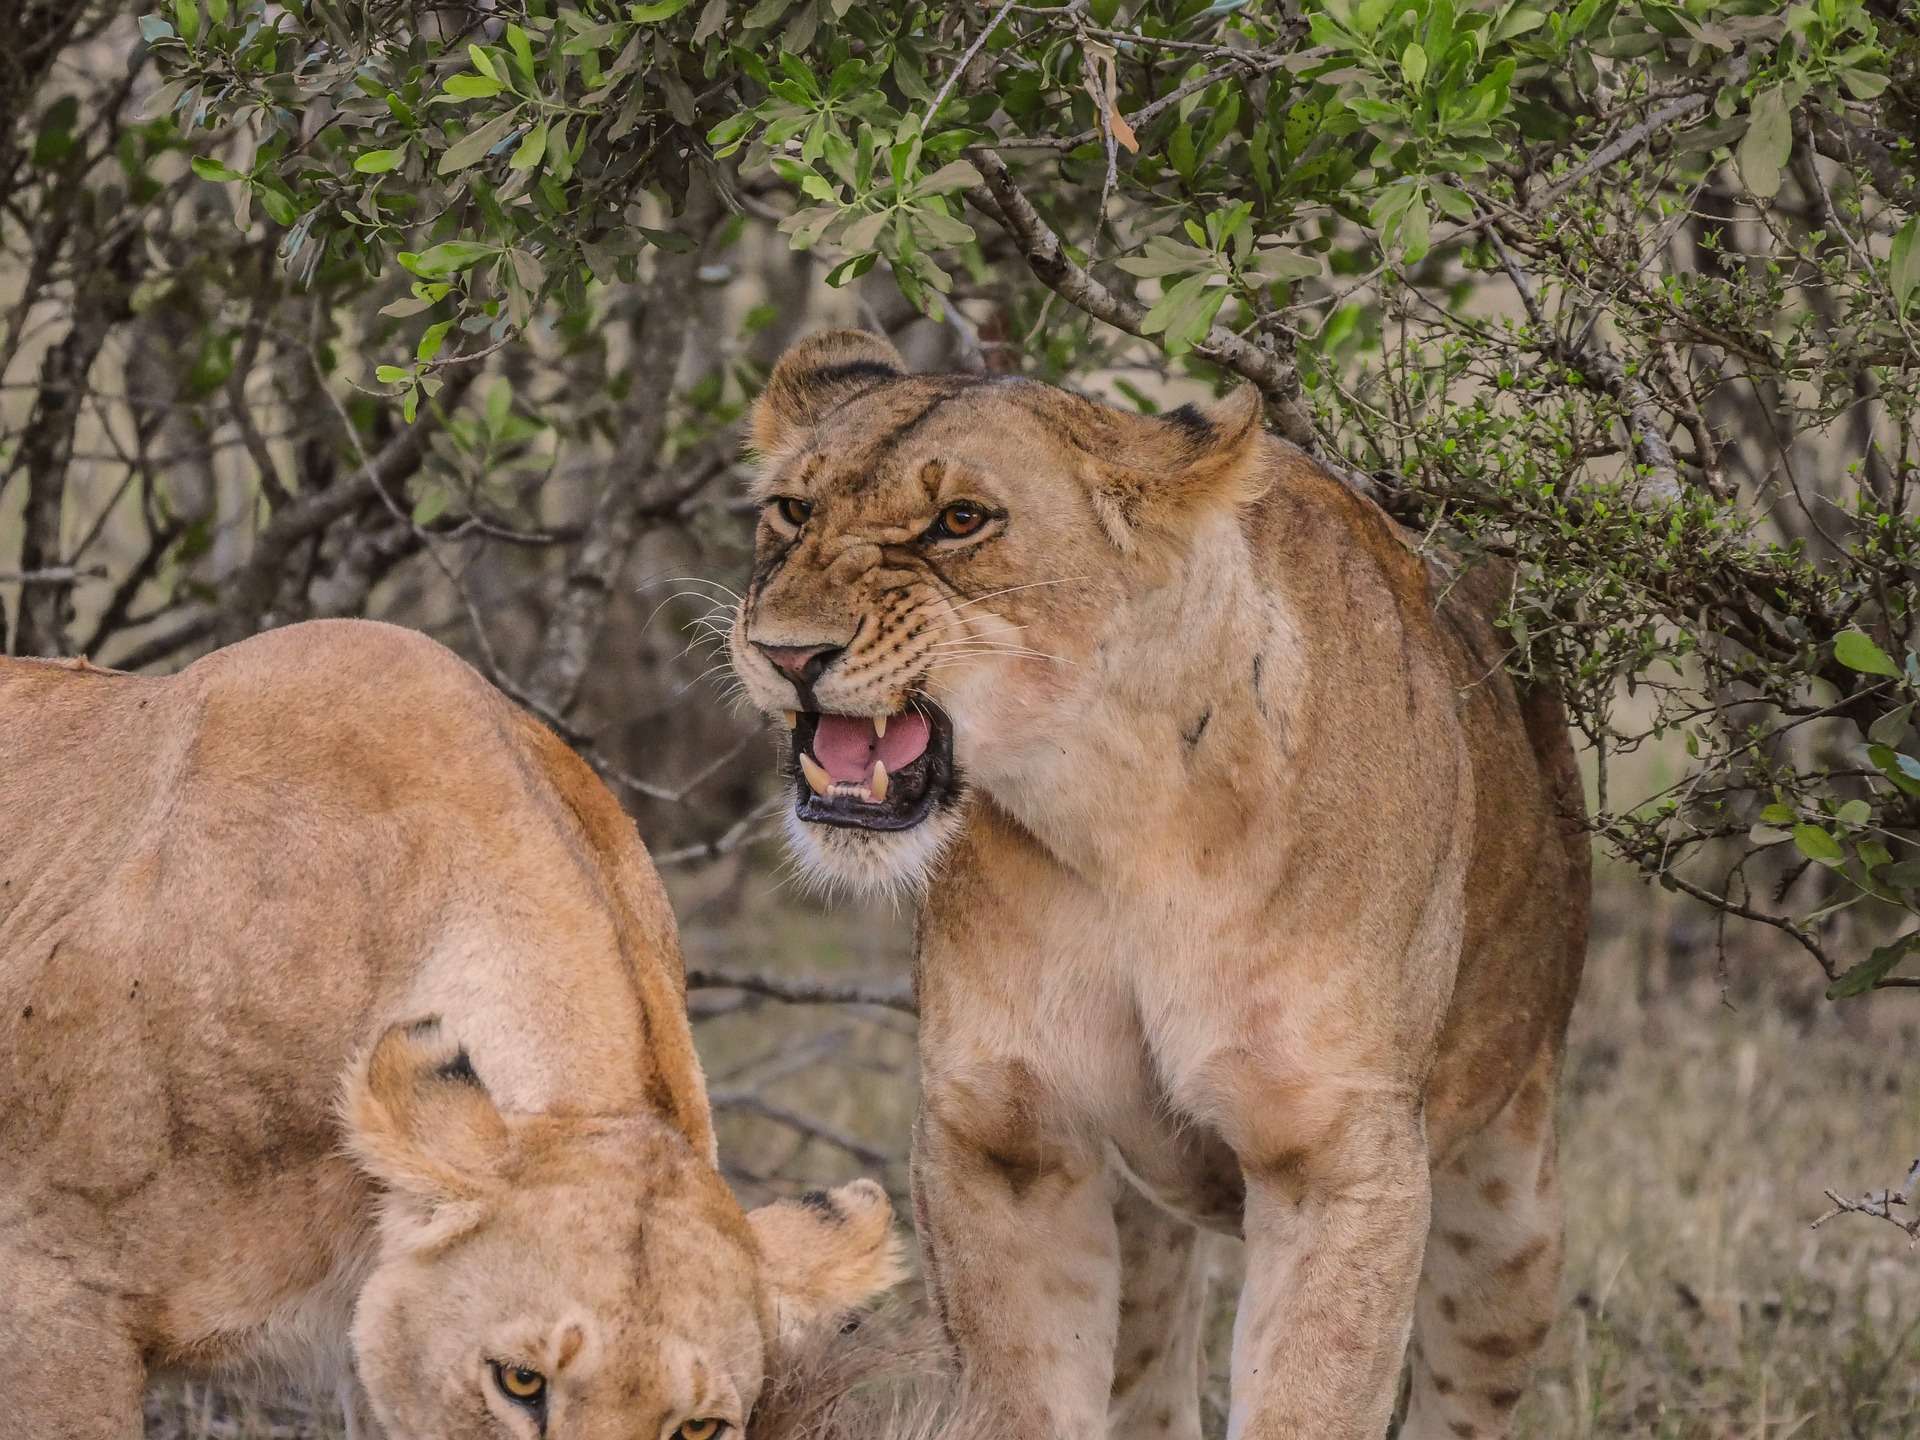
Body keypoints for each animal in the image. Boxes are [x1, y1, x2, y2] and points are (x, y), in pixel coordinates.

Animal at [725, 332, 1582, 1436]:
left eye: (961, 521)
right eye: (792, 509)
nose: (786, 653)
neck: (1116, 823)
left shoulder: (1337, 1155)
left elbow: (1308, 1398)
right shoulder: (1002, 1137)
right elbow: (1026, 1397)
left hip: (1510, 1212)